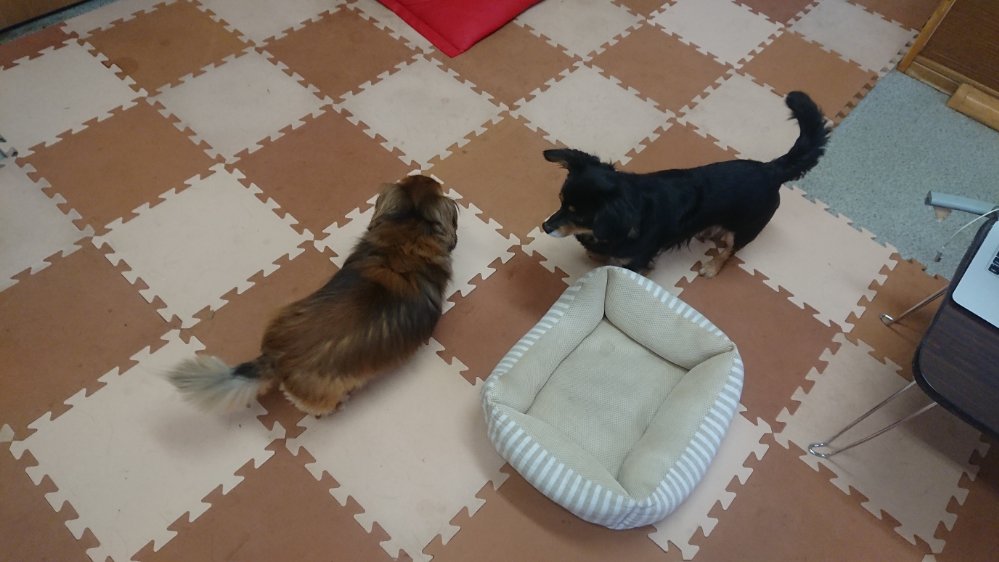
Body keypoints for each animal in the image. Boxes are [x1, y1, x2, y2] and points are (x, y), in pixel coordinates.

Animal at [541, 91, 830, 277]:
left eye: (579, 216)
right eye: (561, 202)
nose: (545, 227)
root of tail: (771, 170)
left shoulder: (636, 262)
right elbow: (596, 255)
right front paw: (595, 255)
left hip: (747, 228)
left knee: (730, 250)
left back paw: (712, 267)